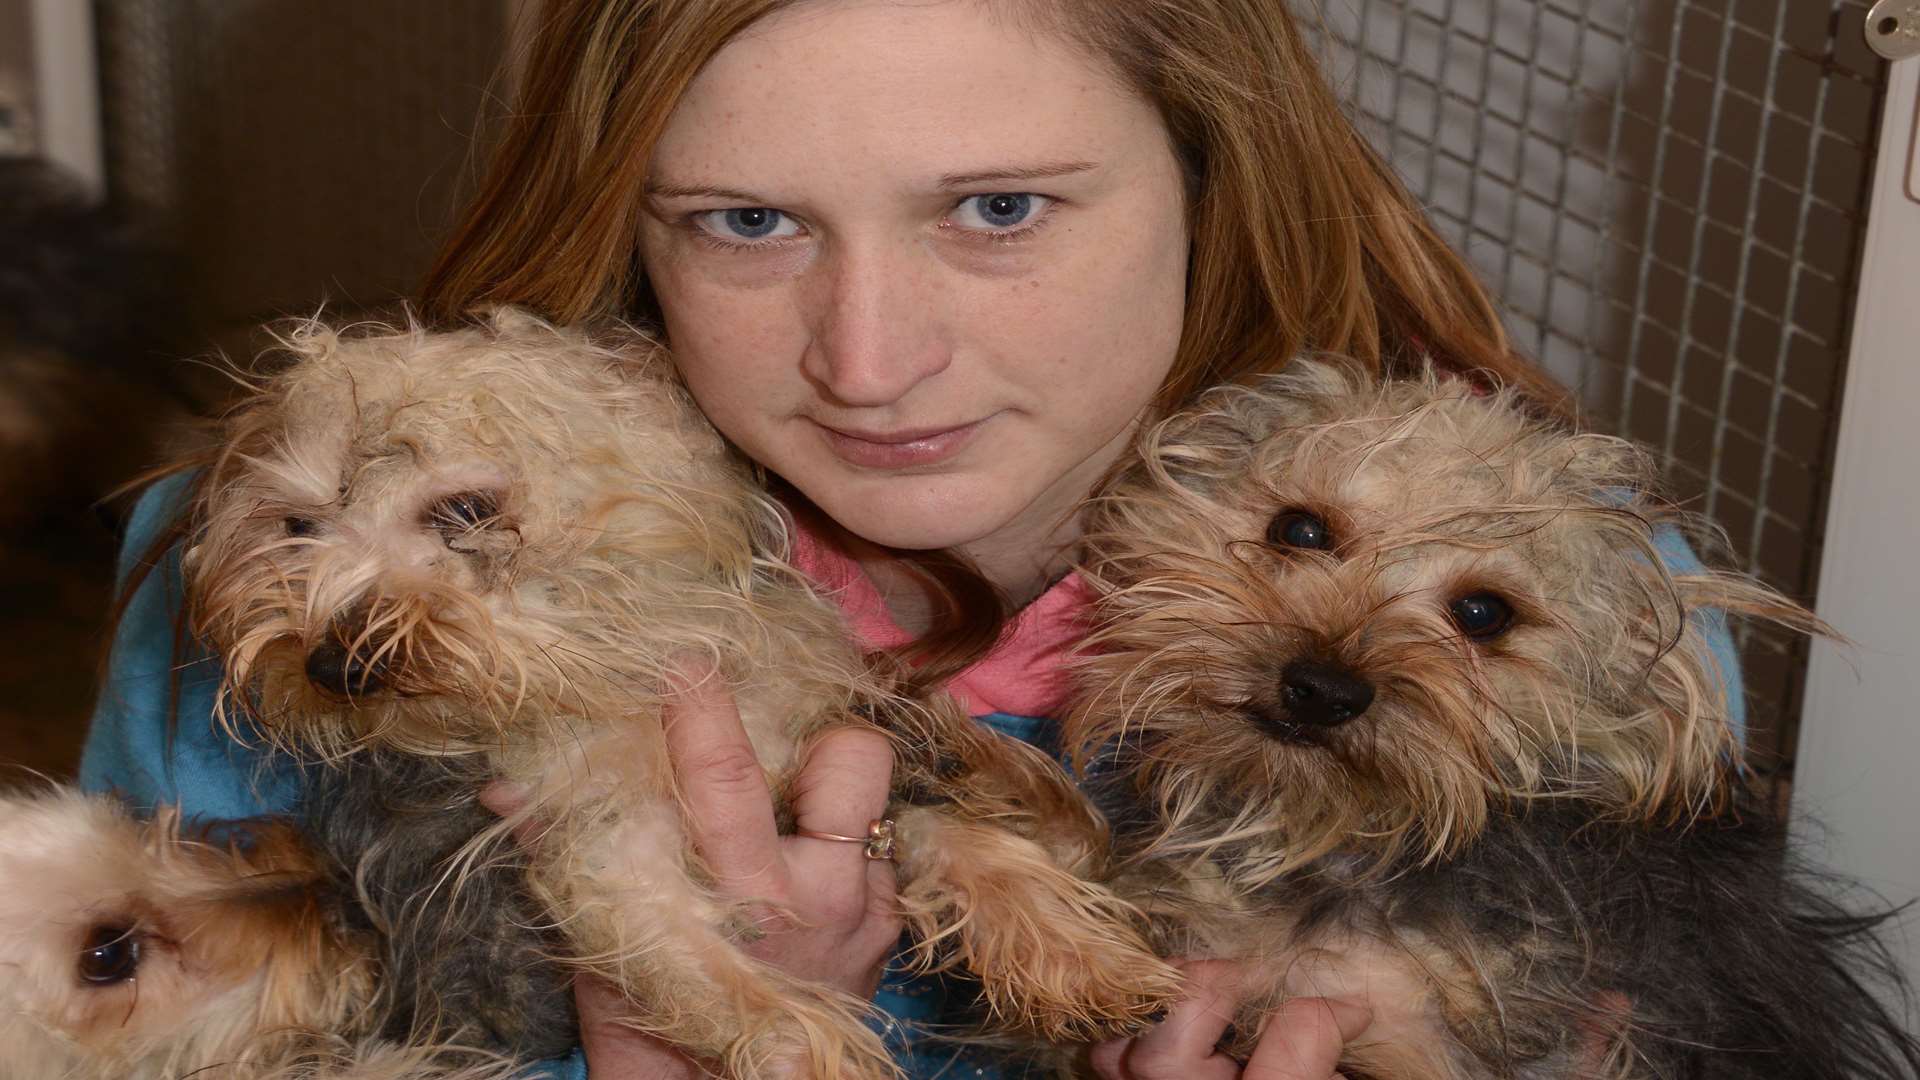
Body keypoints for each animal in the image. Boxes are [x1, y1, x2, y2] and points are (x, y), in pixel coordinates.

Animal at [180, 307, 1175, 1068]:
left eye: (464, 511)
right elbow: (735, 990)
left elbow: (967, 845)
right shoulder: (603, 846)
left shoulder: (824, 755)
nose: (329, 665)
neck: (608, 670)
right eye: (297, 528)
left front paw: (1076, 957)